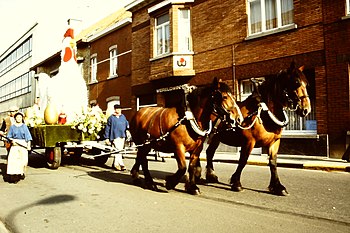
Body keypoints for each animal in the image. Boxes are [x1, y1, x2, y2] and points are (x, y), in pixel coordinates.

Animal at [205, 61, 312, 195]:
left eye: (306, 83)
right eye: (296, 82)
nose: (306, 109)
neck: (263, 112)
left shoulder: (274, 142)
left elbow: (273, 162)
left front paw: (278, 186)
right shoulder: (249, 142)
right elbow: (243, 160)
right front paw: (236, 183)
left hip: (217, 137)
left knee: (210, 152)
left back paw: (211, 176)